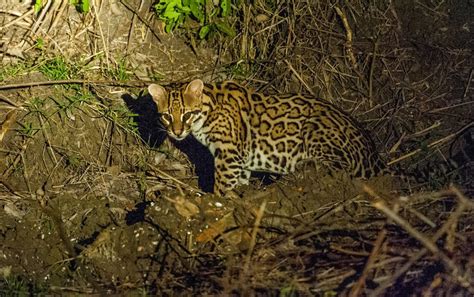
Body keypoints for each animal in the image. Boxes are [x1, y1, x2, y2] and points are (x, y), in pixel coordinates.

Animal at [147, 78, 386, 194]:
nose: (177, 132)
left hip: (316, 131)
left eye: (186, 114)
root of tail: (375, 156)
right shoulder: (240, 159)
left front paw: (216, 200)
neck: (208, 108)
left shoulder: (228, 156)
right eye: (167, 116)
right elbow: (240, 179)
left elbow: (222, 186)